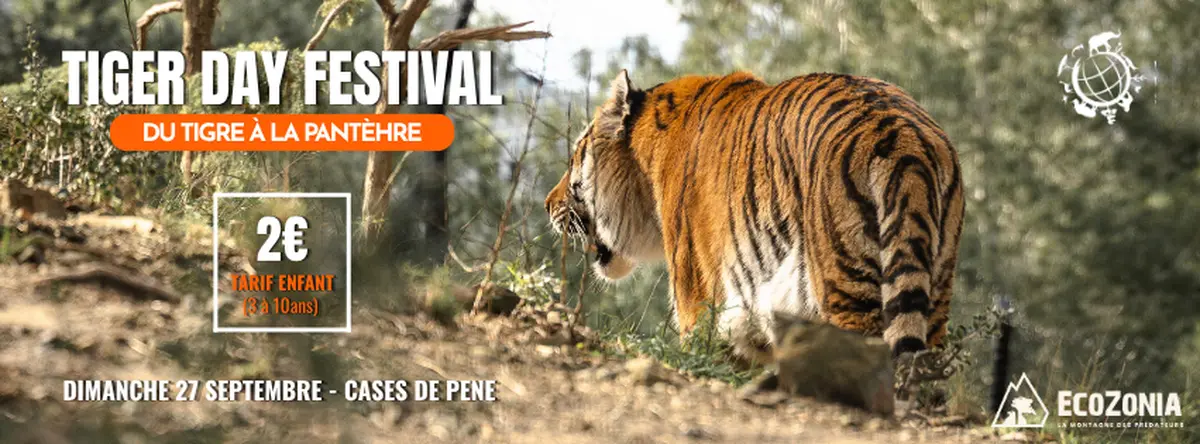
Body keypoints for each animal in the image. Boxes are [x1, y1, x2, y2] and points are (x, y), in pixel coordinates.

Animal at [545, 69, 964, 361]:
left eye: (574, 157)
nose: (548, 204)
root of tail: (904, 137)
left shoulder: (695, 295)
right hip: (935, 286)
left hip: (847, 284)